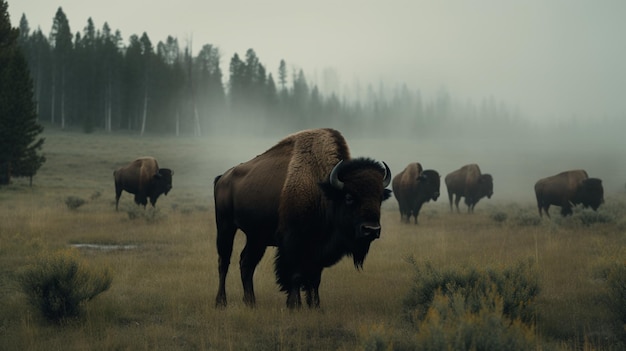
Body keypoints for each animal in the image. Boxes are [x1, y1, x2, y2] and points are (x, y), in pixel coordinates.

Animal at [214, 130, 390, 310]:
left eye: (380, 198)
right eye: (349, 197)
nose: (371, 230)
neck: (322, 192)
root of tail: (223, 177)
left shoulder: (317, 249)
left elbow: (315, 278)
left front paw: (315, 306)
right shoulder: (293, 243)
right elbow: (295, 275)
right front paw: (294, 305)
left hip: (256, 237)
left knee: (246, 263)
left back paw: (250, 302)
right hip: (225, 226)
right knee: (224, 261)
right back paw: (221, 301)